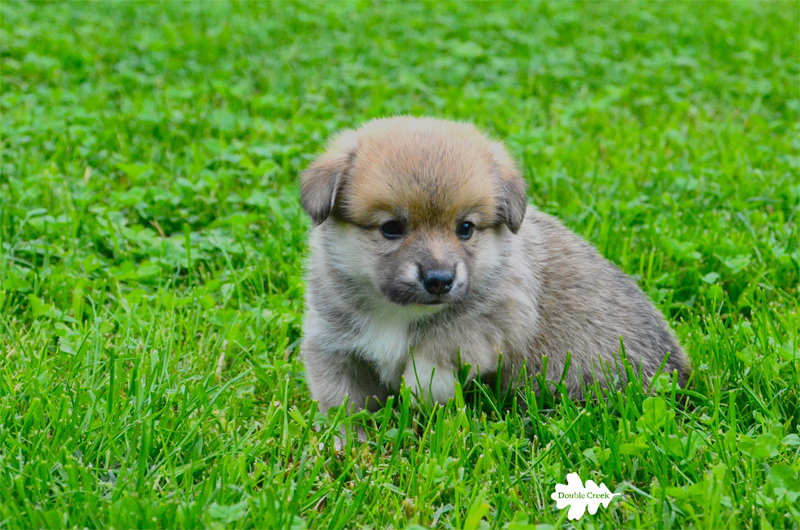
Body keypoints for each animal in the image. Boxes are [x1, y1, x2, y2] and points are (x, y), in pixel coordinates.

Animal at [298, 116, 688, 412]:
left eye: (465, 228)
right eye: (391, 228)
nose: (439, 280)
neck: (399, 314)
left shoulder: (493, 319)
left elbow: (438, 352)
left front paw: (420, 390)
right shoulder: (332, 345)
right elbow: (341, 403)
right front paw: (344, 445)